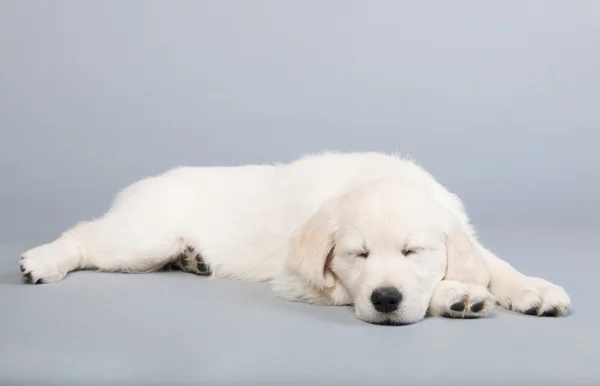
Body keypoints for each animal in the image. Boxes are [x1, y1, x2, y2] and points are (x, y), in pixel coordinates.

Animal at [19, 152, 572, 324]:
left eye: (412, 251)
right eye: (358, 254)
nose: (385, 300)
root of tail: (135, 187)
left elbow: (494, 264)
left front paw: (535, 289)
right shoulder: (302, 281)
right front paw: (457, 295)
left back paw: (193, 260)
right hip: (139, 240)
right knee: (85, 237)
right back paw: (41, 261)